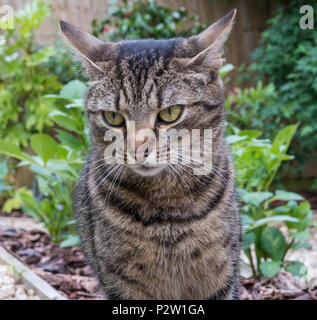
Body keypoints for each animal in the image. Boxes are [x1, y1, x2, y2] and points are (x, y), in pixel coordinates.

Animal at [59, 9, 239, 300]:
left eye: (170, 113)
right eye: (112, 117)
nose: (137, 149)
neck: (167, 212)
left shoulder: (220, 276)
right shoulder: (122, 283)